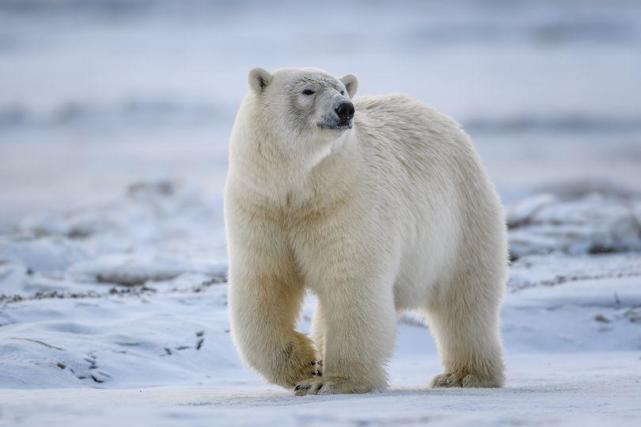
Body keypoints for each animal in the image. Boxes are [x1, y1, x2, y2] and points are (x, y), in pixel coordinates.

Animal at [222, 67, 508, 398]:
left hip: (460, 220)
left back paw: (464, 375)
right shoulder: (262, 208)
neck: (299, 190)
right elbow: (265, 284)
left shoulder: (345, 203)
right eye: (308, 91)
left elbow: (351, 283)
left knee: (465, 301)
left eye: (341, 90)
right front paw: (305, 367)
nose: (345, 109)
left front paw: (333, 381)